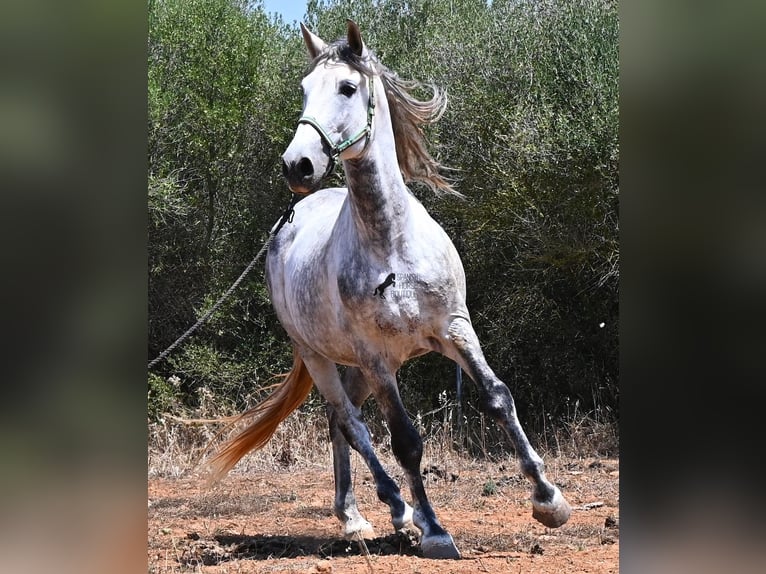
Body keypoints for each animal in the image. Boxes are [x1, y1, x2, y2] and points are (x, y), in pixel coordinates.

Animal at [208, 19, 571, 559]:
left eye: (347, 87)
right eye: (304, 90)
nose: (298, 165)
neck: (392, 245)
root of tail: (288, 222)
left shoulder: (454, 329)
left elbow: (497, 397)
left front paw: (549, 500)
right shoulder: (376, 357)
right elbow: (404, 440)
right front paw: (436, 530)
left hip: (361, 367)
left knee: (341, 420)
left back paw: (361, 515)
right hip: (323, 357)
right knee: (350, 421)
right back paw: (390, 510)